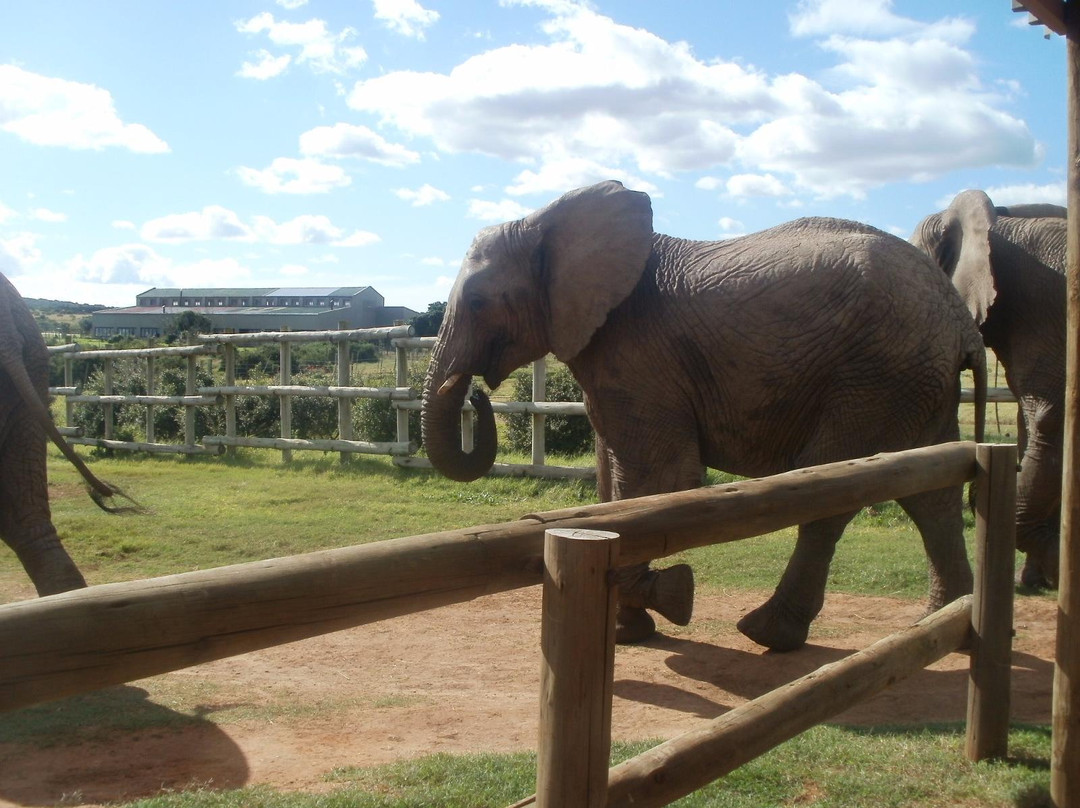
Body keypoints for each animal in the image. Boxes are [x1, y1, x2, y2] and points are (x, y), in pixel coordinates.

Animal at [422, 180, 986, 651]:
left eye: (478, 302)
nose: (475, 394)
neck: (549, 220)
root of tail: (962, 322)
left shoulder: (639, 349)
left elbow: (661, 480)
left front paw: (671, 596)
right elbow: (614, 481)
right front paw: (630, 625)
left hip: (876, 376)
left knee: (831, 492)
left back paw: (767, 633)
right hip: (916, 383)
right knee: (930, 493)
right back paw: (946, 621)